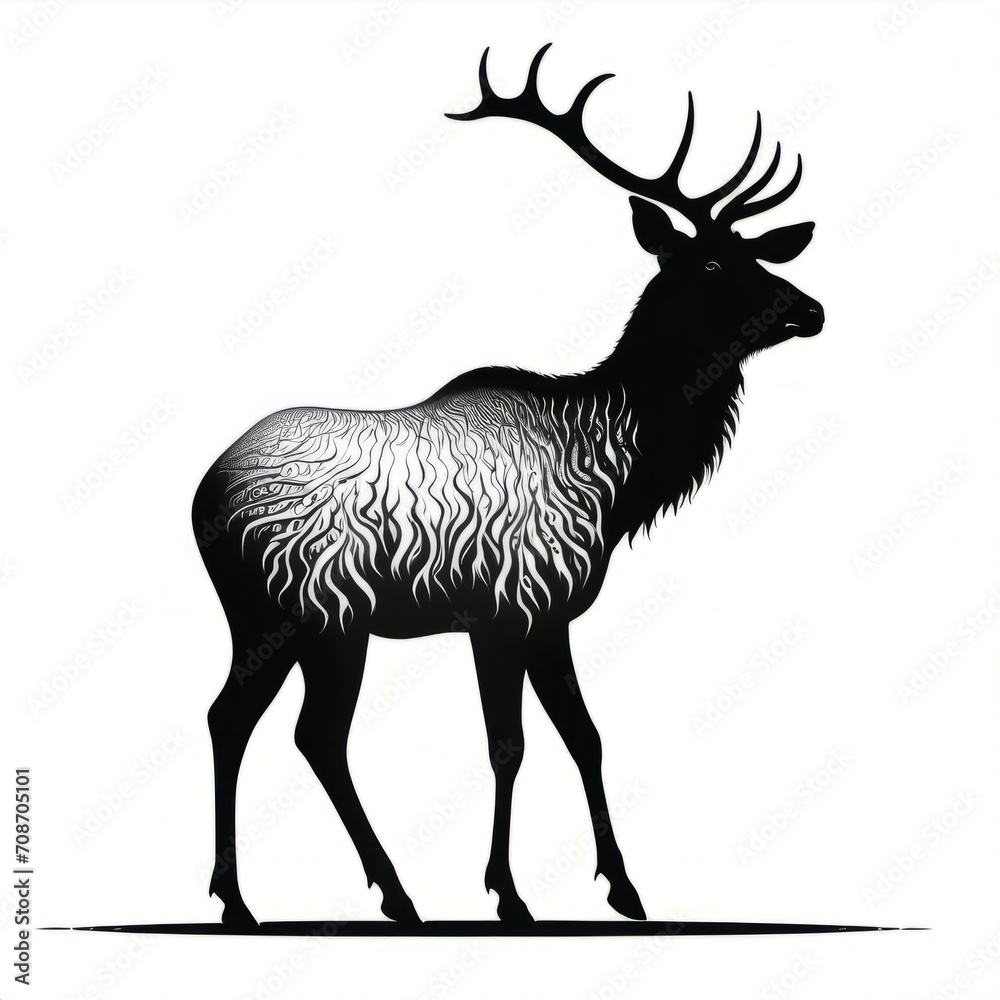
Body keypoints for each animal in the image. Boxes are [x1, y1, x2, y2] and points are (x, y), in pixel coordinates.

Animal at [193, 44, 824, 928]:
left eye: (763, 256)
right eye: (707, 261)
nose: (812, 309)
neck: (621, 471)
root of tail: (201, 495)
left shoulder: (547, 617)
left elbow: (585, 735)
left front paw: (623, 888)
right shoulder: (508, 610)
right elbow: (509, 746)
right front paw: (510, 892)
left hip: (267, 622)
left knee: (237, 719)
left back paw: (249, 897)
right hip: (324, 618)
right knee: (312, 733)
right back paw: (380, 894)